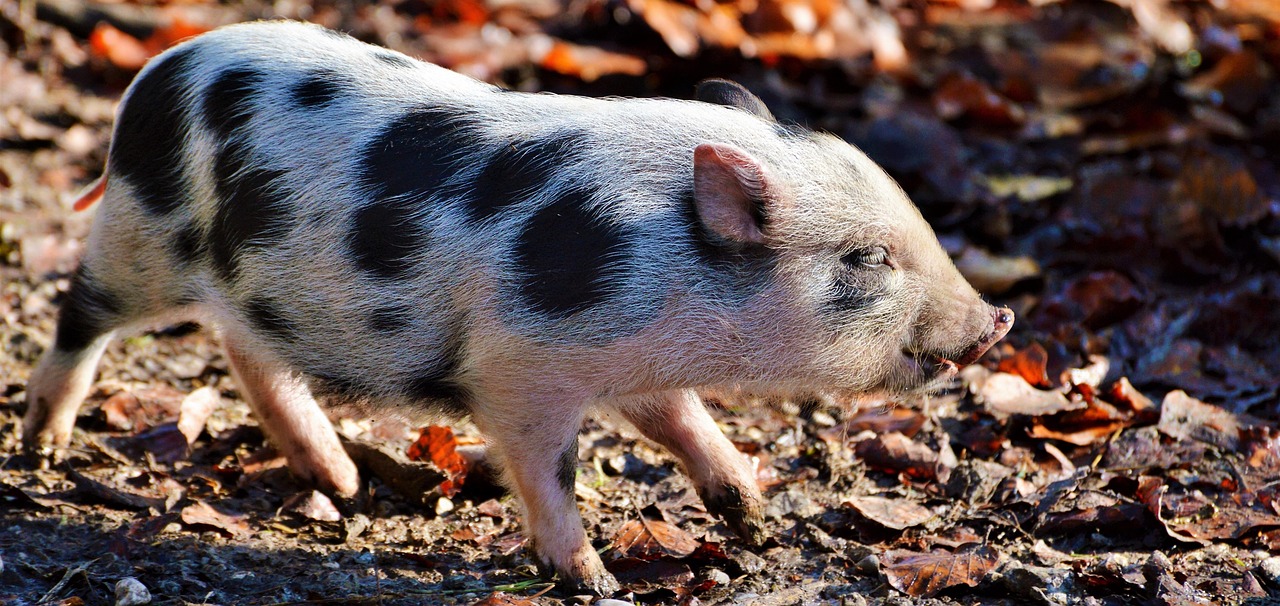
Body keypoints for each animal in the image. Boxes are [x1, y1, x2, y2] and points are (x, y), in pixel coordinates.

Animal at [20, 21, 1008, 591]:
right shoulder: (520, 370)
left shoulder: (637, 363)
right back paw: (43, 449)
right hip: (141, 235)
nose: (996, 322)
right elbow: (549, 468)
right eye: (868, 258)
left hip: (254, 284)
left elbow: (687, 426)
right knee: (81, 311)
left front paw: (758, 523)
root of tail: (154, 72)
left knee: (248, 350)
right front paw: (595, 581)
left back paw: (340, 484)